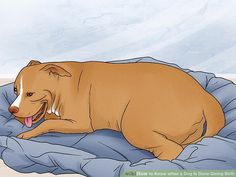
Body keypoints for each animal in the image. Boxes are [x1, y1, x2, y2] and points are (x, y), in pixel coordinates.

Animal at [7, 59, 225, 160]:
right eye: (15, 90)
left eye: (30, 94)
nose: (12, 110)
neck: (62, 83)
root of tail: (203, 94)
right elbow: (49, 120)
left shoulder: (81, 123)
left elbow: (47, 124)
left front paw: (27, 134)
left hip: (134, 125)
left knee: (172, 149)